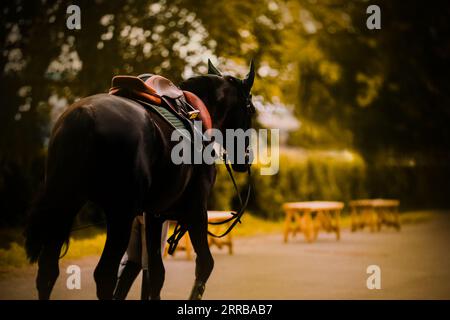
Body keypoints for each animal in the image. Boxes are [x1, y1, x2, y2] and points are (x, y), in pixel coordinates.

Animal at [24, 59, 255, 300]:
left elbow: (155, 273)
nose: (246, 159)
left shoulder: (155, 214)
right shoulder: (196, 211)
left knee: (48, 270)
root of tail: (84, 115)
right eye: (251, 108)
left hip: (65, 205)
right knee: (104, 274)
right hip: (120, 215)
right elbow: (204, 264)